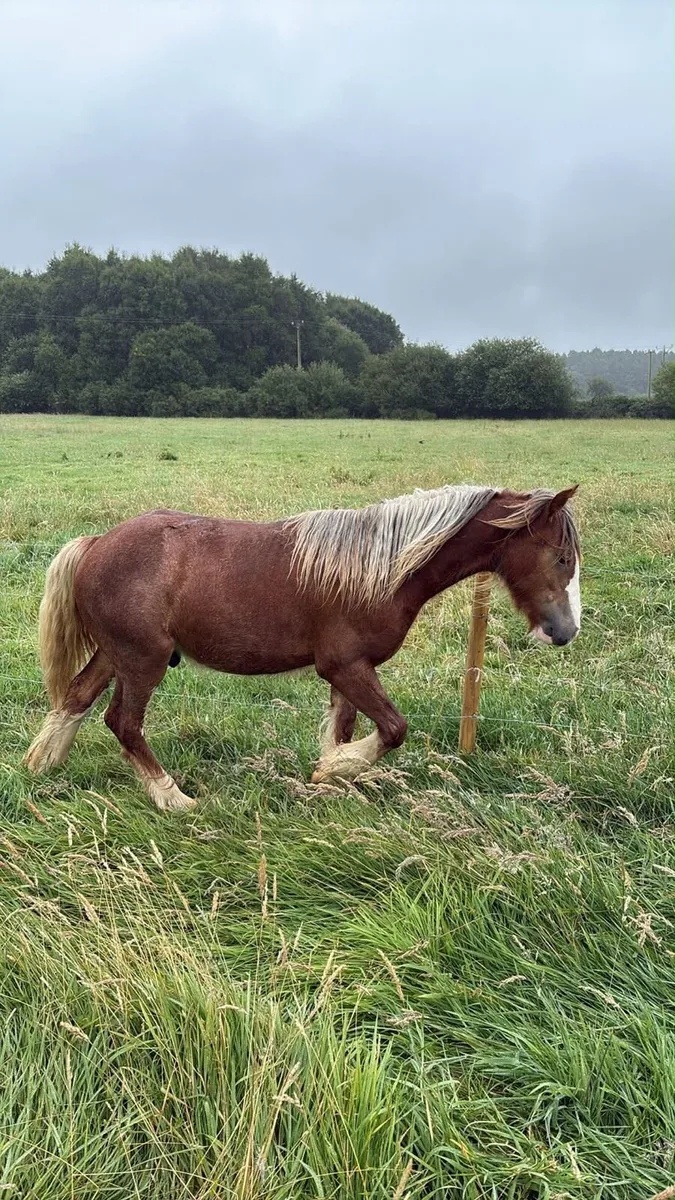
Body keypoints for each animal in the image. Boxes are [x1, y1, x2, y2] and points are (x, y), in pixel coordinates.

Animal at [24, 483, 581, 810]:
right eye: (560, 557)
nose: (565, 632)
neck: (381, 569)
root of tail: (95, 544)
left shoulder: (350, 672)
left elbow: (346, 729)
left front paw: (332, 778)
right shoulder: (346, 666)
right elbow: (393, 729)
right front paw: (336, 769)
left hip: (115, 654)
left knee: (76, 696)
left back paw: (42, 764)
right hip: (143, 661)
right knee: (122, 721)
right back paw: (171, 797)